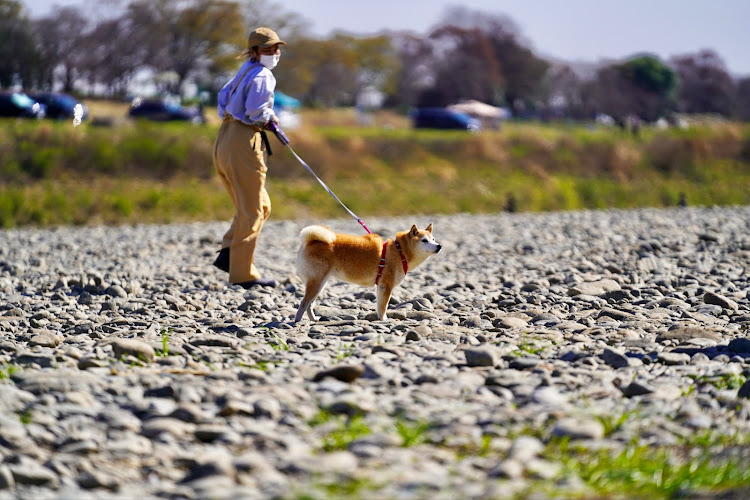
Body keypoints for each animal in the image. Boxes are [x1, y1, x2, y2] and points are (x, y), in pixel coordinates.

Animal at [296, 223, 444, 320]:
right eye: (424, 240)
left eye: (433, 239)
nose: (439, 246)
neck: (399, 251)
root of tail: (309, 242)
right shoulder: (386, 286)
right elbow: (383, 306)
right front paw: (384, 321)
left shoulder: (381, 287)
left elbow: (379, 306)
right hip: (317, 282)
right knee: (303, 303)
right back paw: (297, 321)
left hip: (320, 284)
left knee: (309, 304)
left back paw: (313, 320)